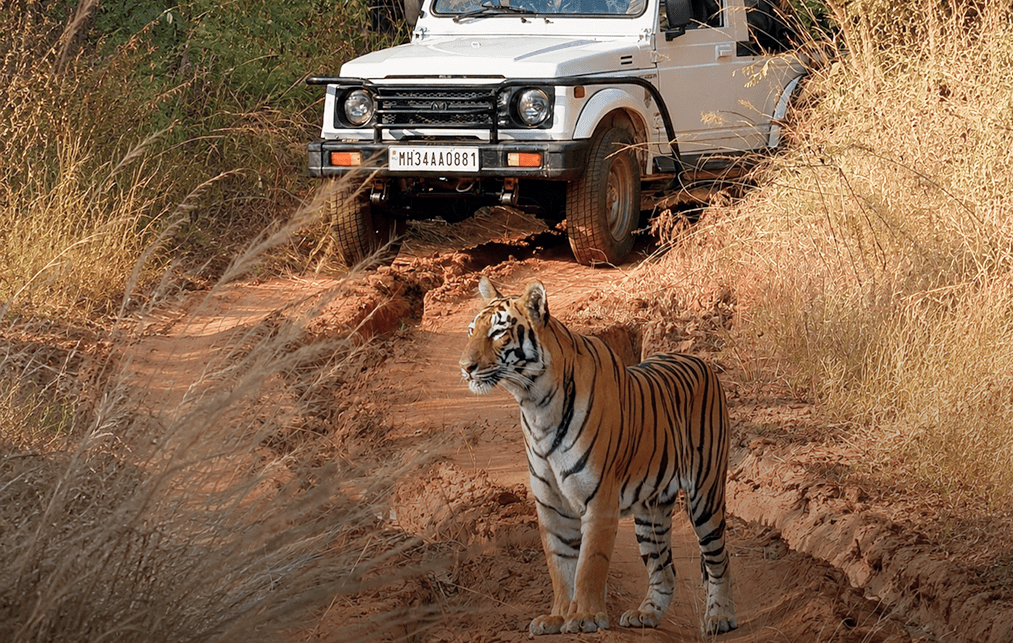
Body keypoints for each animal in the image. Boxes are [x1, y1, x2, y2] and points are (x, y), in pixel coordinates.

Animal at [459, 277, 737, 636]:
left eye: (497, 333)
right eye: (471, 331)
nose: (465, 368)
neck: (535, 404)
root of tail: (702, 362)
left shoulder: (599, 498)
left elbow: (589, 563)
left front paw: (585, 617)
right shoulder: (550, 504)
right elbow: (560, 566)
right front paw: (557, 616)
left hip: (705, 496)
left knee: (719, 560)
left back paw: (720, 618)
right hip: (650, 512)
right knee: (664, 570)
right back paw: (646, 614)